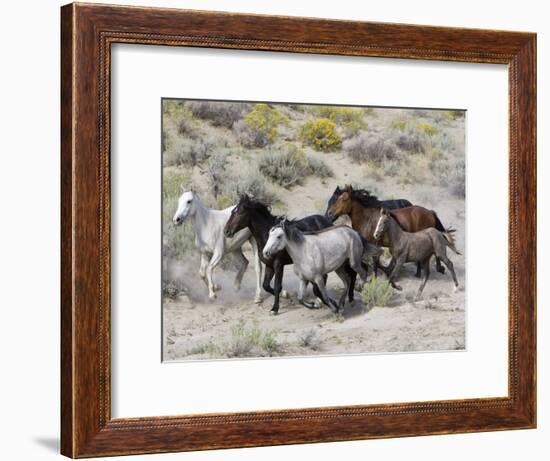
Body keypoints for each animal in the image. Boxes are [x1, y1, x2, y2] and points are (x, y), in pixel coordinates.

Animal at [226, 192, 360, 314]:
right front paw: (287, 295)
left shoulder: (278, 264)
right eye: (233, 211)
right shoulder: (269, 265)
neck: (266, 236)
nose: (227, 231)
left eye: (240, 212)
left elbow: (277, 286)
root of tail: (327, 220)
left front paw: (275, 308)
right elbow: (266, 285)